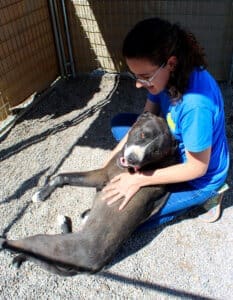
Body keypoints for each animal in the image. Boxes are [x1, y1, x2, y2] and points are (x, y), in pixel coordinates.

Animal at [0, 112, 177, 276]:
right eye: (143, 135)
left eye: (155, 151)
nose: (133, 159)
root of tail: (87, 268)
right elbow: (62, 177)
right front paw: (43, 194)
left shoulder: (102, 176)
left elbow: (62, 176)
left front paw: (41, 194)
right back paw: (64, 221)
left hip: (42, 242)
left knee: (12, 245)